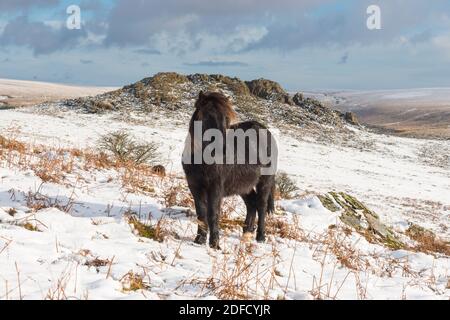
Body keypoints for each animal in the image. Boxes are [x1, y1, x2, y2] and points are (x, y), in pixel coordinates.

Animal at [183, 91, 278, 249]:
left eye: (226, 118)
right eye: (207, 116)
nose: (222, 148)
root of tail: (265, 130)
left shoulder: (216, 188)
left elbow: (213, 214)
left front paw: (215, 244)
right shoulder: (195, 187)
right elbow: (201, 213)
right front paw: (199, 239)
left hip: (264, 181)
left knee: (261, 206)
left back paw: (260, 236)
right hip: (243, 186)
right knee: (252, 204)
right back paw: (247, 233)